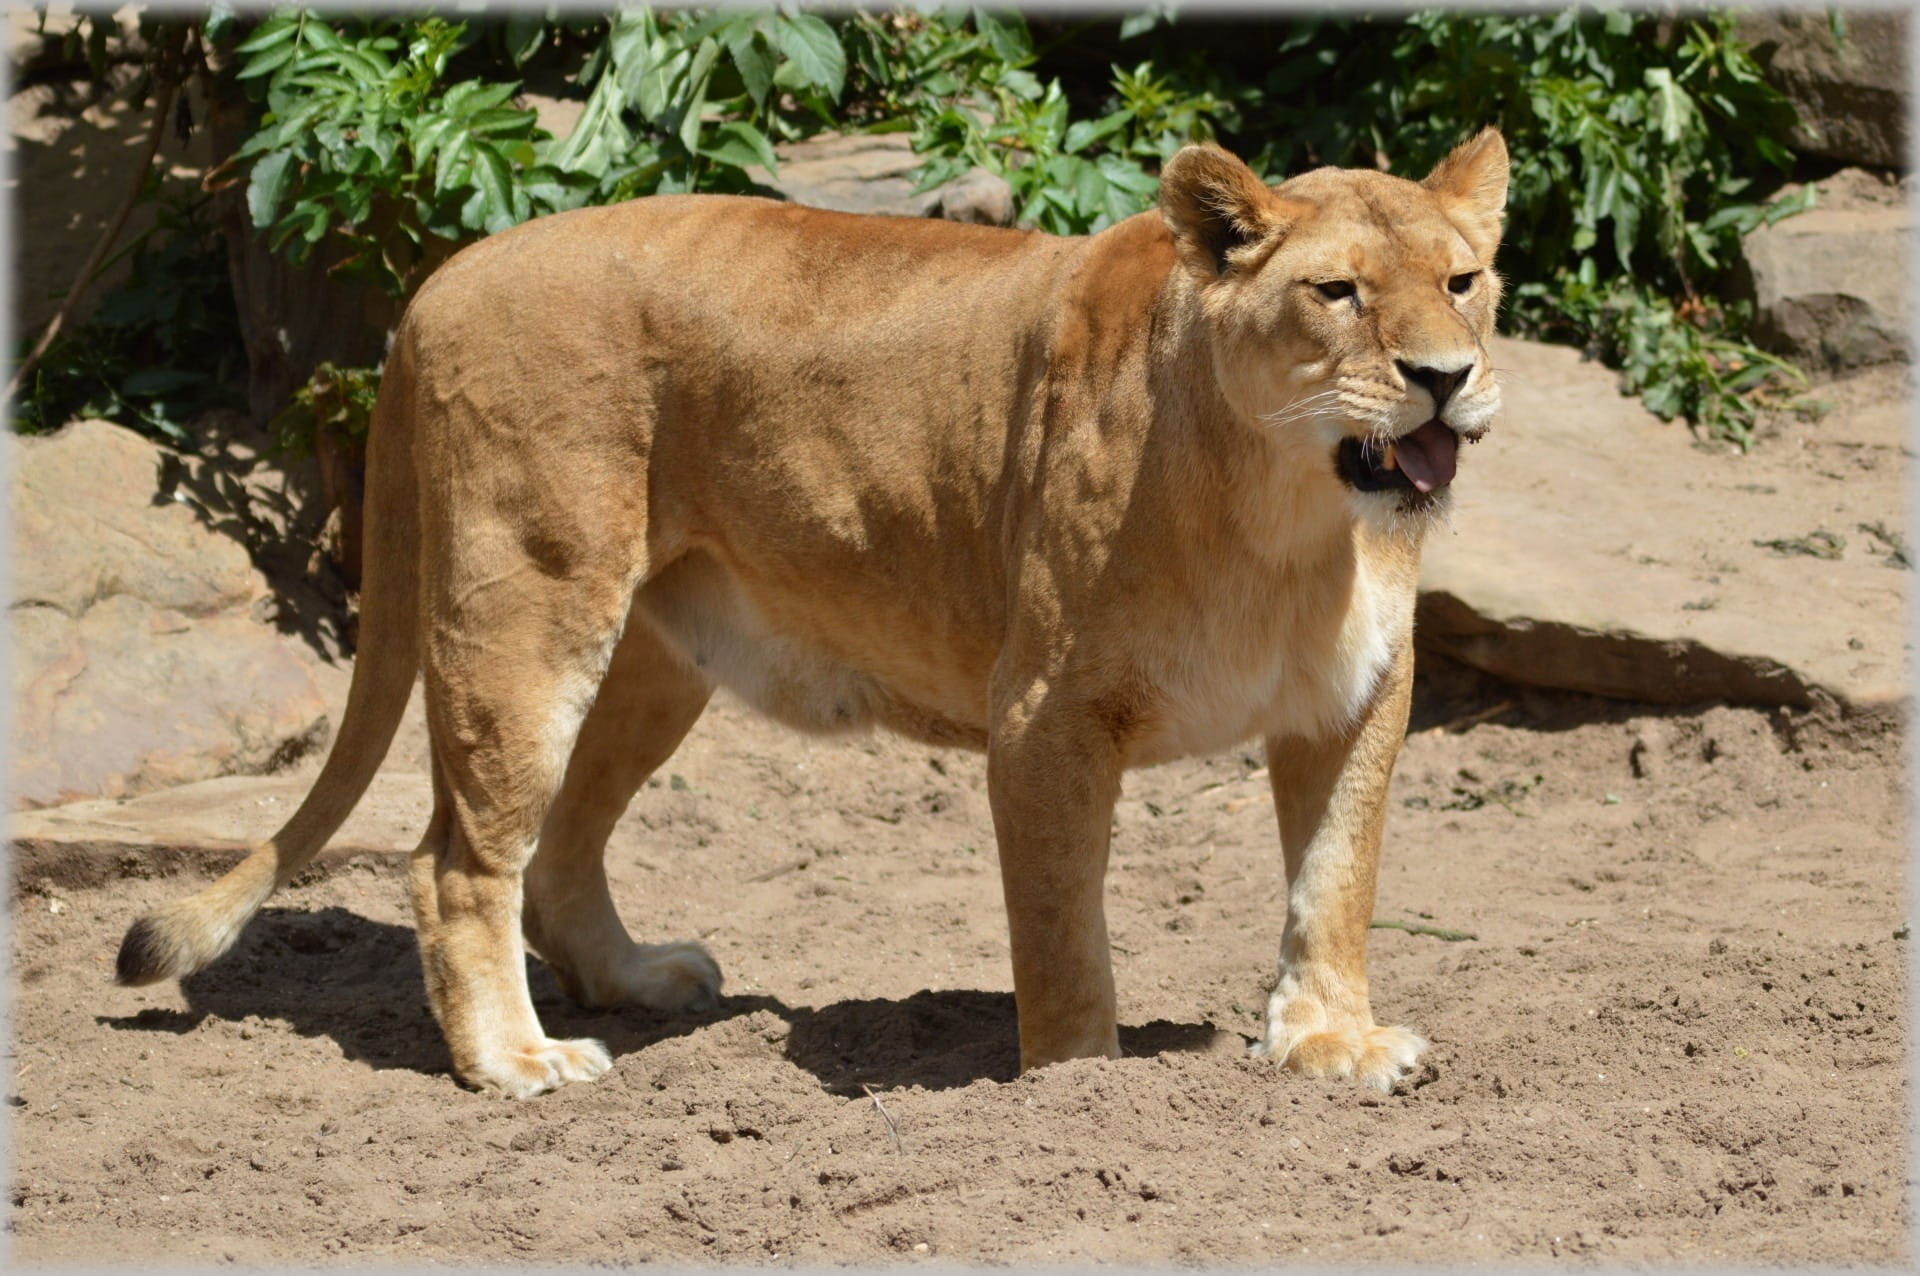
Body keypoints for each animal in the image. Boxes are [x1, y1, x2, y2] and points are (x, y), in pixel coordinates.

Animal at [116, 130, 1508, 1097]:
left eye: (1465, 279)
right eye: (1337, 293)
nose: (1446, 378)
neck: (1291, 515)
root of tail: (445, 276)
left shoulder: (1356, 700)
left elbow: (1335, 882)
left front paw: (1332, 1043)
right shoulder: (1044, 716)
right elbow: (1063, 930)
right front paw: (1079, 1087)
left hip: (653, 658)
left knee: (559, 847)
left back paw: (636, 982)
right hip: (528, 612)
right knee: (458, 859)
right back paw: (515, 1061)